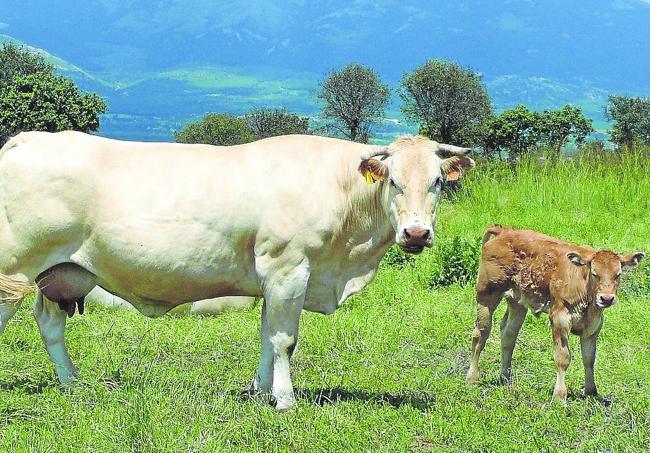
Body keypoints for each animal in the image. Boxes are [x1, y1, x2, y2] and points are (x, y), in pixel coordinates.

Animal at [0, 131, 470, 410]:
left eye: (437, 181)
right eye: (393, 180)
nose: (416, 232)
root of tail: (28, 139)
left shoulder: (275, 280)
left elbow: (266, 336)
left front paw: (259, 391)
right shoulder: (289, 268)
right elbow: (284, 340)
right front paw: (285, 400)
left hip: (59, 272)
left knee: (50, 325)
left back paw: (73, 383)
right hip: (15, 268)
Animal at [466, 225, 644, 400]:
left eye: (618, 275)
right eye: (595, 274)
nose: (606, 298)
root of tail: (504, 230)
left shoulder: (593, 326)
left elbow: (589, 358)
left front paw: (591, 392)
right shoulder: (560, 319)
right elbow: (563, 357)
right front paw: (559, 396)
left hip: (518, 303)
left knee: (508, 335)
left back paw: (505, 378)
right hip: (486, 296)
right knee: (480, 335)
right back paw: (472, 378)